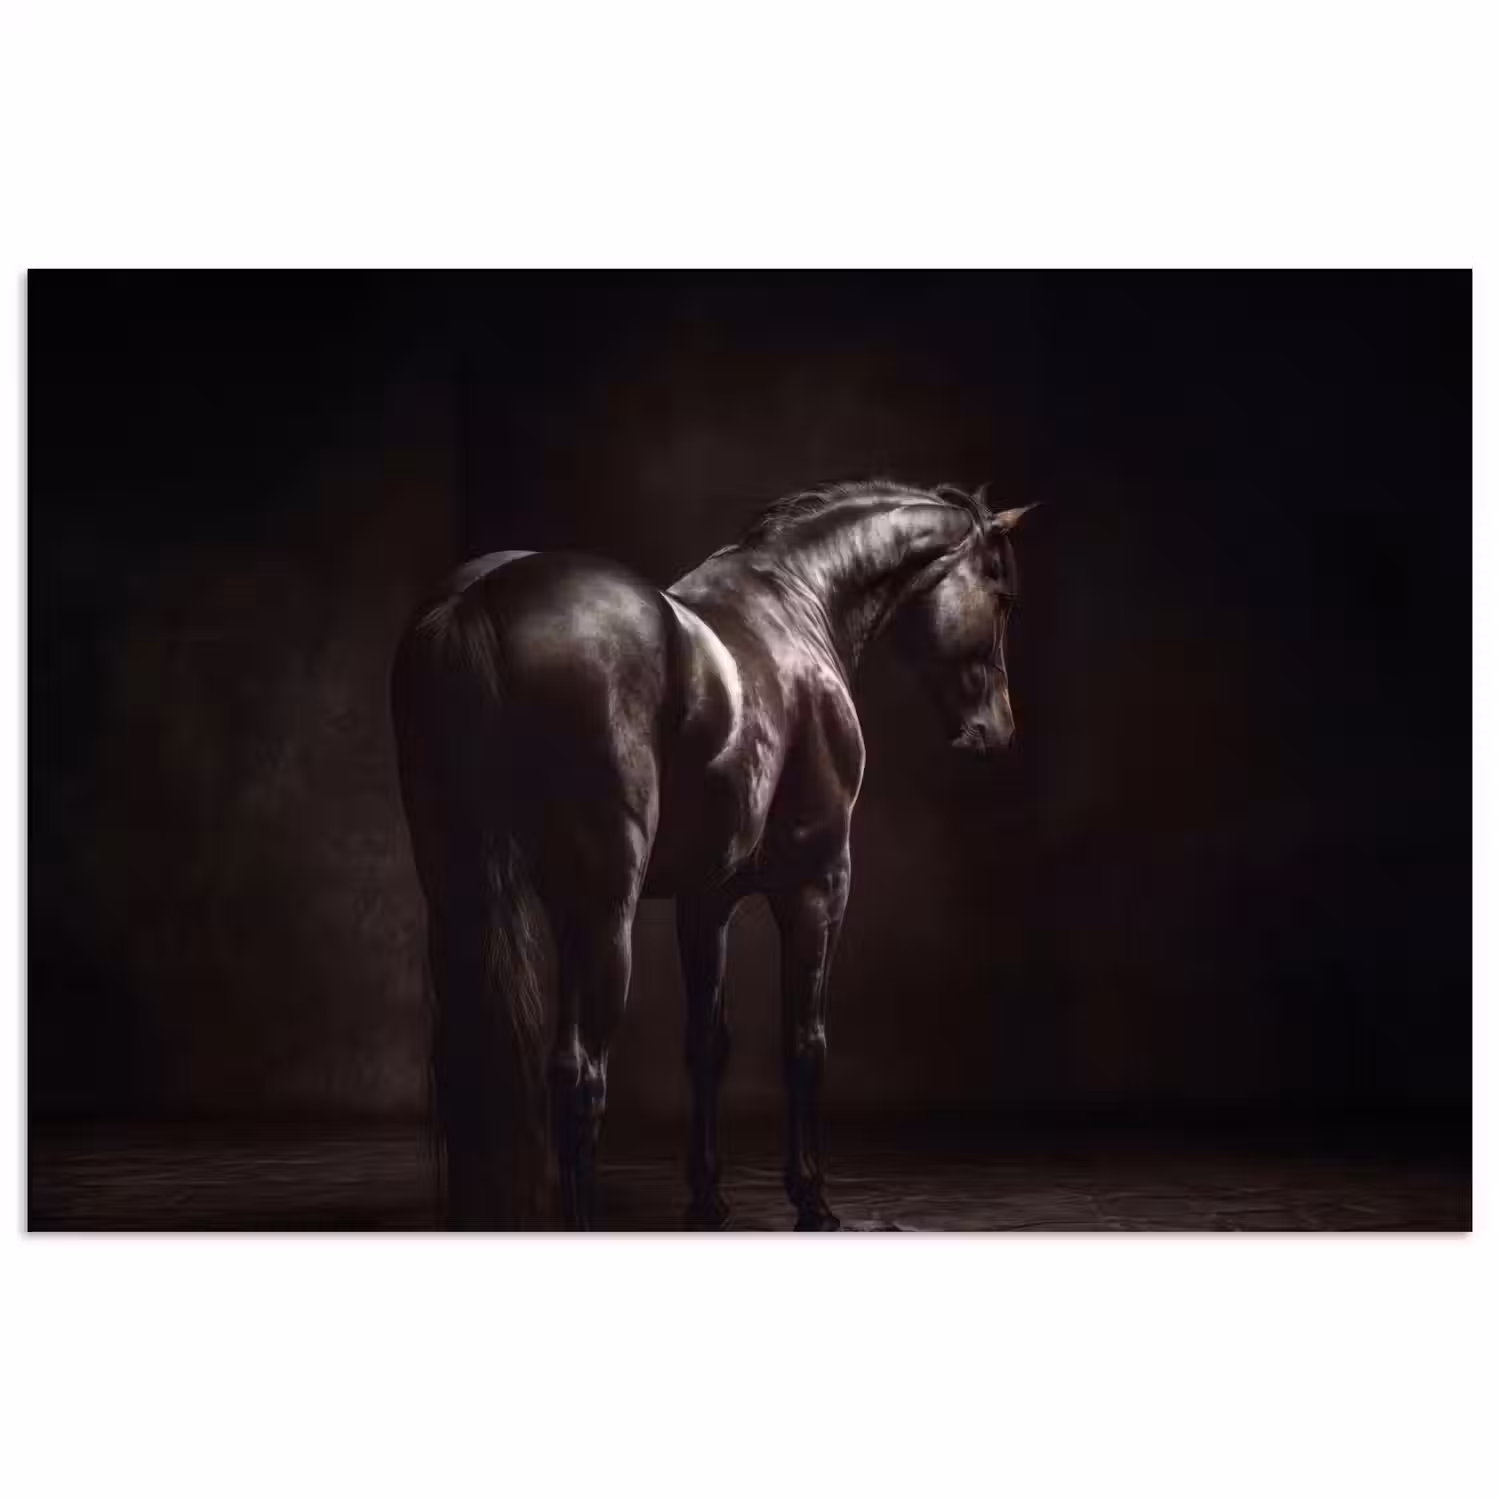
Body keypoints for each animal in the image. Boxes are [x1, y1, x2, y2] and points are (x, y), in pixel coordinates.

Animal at [391, 480, 1034, 1230]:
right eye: (1001, 594)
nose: (997, 731)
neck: (797, 598)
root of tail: (482, 597)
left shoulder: (706, 899)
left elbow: (706, 1045)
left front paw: (707, 1197)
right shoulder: (819, 884)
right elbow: (804, 1040)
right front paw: (812, 1198)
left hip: (461, 894)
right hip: (600, 913)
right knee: (580, 1075)